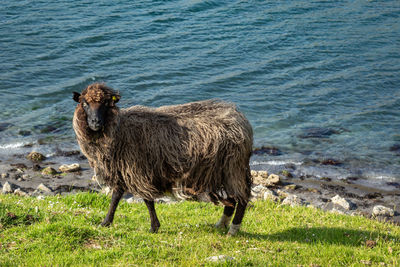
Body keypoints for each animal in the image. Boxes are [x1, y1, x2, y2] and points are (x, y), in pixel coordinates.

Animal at [72, 84, 253, 237]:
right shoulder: (122, 169)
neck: (119, 129)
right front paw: (106, 222)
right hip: (221, 171)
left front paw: (154, 227)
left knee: (242, 199)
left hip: (233, 167)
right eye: (85, 103)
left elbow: (147, 200)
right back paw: (221, 224)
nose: (95, 122)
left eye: (106, 103)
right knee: (231, 200)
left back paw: (233, 230)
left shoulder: (138, 170)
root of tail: (241, 119)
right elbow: (116, 197)